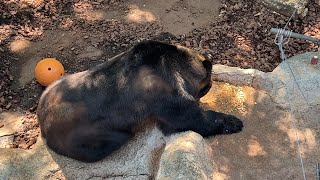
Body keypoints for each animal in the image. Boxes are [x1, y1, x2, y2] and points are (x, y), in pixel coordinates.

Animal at [37, 40, 242, 162]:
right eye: (207, 85)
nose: (209, 86)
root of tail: (42, 124)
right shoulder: (162, 94)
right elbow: (189, 118)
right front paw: (233, 121)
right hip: (85, 134)